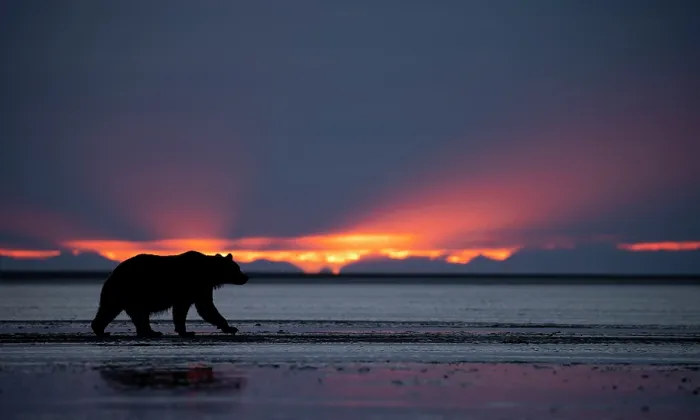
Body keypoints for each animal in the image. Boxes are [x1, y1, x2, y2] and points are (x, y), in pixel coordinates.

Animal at [91, 250, 249, 338]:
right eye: (237, 268)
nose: (245, 277)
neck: (209, 273)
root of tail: (112, 273)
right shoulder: (193, 285)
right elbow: (204, 308)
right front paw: (230, 328)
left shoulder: (199, 288)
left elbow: (199, 307)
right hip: (133, 289)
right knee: (134, 312)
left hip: (122, 293)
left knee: (110, 309)